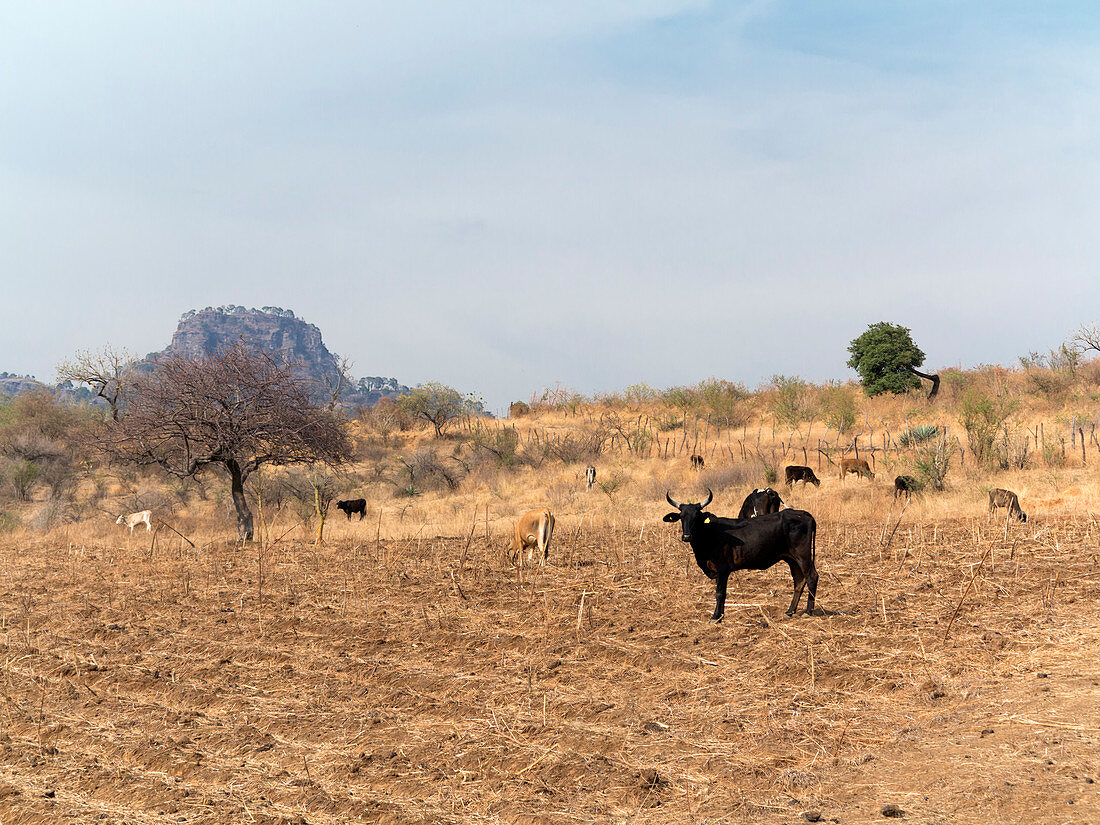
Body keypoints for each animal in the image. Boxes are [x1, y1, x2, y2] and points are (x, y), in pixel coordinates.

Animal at [660, 490, 818, 620]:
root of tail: (802, 513)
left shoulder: (723, 569)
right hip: (791, 559)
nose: (686, 536)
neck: (709, 534)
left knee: (811, 577)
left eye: (697, 516)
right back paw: (790, 611)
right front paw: (720, 615)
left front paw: (716, 617)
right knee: (799, 581)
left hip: (802, 555)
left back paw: (808, 611)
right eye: (681, 516)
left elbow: (720, 593)